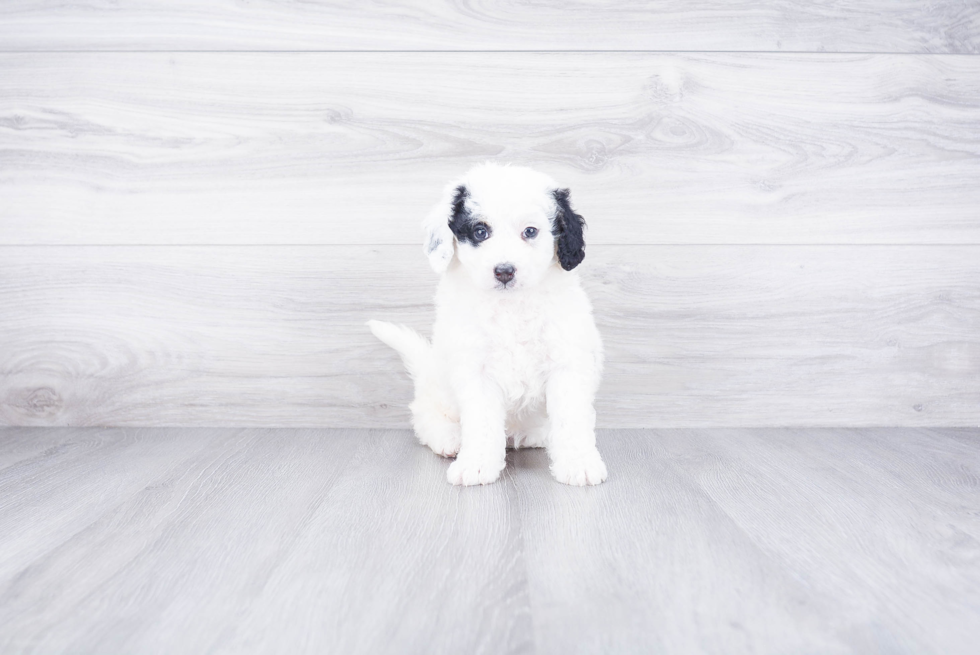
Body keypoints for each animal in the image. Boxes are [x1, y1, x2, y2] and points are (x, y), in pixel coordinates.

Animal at [372, 161, 608, 484]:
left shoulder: (567, 362)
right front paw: (477, 464)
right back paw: (449, 438)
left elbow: (571, 419)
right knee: (425, 416)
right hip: (436, 390)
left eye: (530, 231)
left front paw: (579, 463)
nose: (504, 271)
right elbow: (481, 422)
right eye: (480, 231)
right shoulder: (475, 370)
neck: (511, 306)